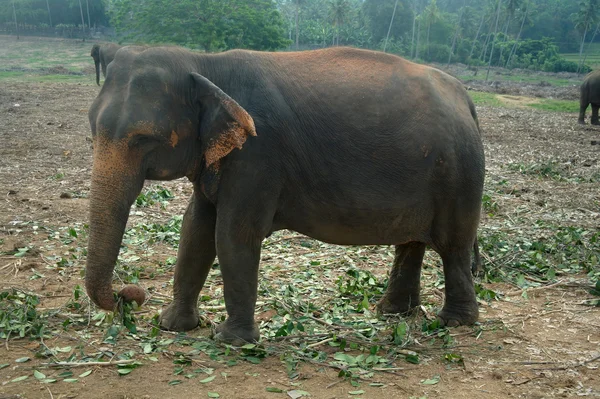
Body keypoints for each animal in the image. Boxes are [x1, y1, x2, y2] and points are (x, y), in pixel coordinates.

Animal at [85, 43, 488, 344]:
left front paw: (230, 340)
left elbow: (232, 233)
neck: (204, 63)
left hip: (460, 174)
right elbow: (195, 228)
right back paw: (393, 312)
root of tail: (466, 99)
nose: (131, 295)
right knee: (412, 242)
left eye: (143, 139)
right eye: (92, 126)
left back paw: (454, 322)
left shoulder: (258, 155)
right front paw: (172, 325)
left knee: (452, 246)